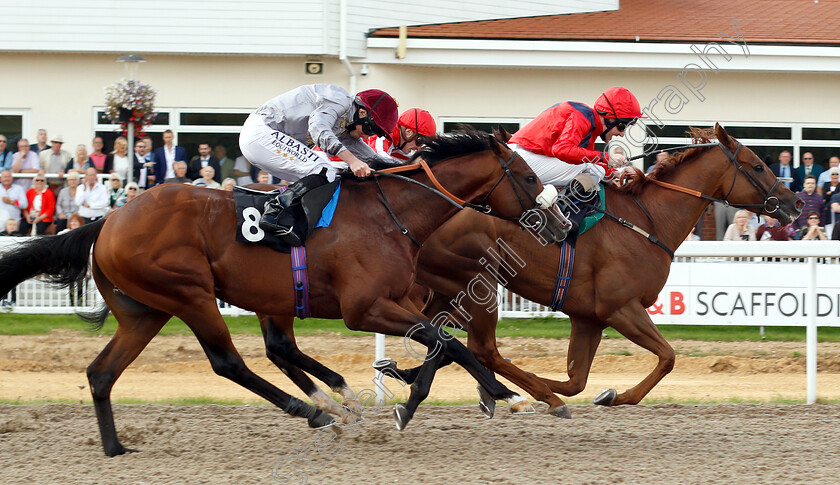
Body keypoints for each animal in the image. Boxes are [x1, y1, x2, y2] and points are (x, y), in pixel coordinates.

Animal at [0, 130, 556, 456]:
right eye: (528, 176)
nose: (560, 223)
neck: (392, 213)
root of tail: (109, 219)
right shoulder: (366, 308)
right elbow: (448, 342)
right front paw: (509, 397)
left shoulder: (397, 301)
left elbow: (444, 343)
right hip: (190, 293)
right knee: (229, 363)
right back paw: (316, 412)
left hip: (148, 310)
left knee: (102, 372)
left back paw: (116, 448)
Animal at [248, 125, 800, 420]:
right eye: (756, 164)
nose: (795, 203)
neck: (647, 220)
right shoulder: (621, 308)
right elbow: (666, 357)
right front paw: (613, 396)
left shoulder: (589, 317)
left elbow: (578, 377)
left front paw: (580, 390)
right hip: (478, 283)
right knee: (480, 347)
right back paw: (512, 394)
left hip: (445, 288)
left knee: (448, 340)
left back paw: (418, 381)